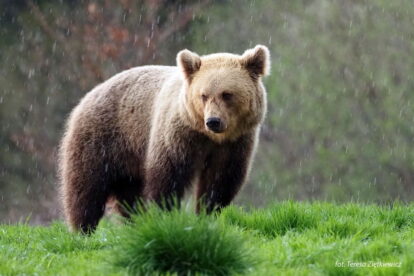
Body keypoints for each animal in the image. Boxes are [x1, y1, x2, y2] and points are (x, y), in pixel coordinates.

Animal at [59, 44, 272, 233]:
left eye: (227, 94)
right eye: (203, 95)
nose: (213, 121)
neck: (209, 137)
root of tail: (90, 94)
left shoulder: (234, 144)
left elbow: (220, 180)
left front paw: (207, 214)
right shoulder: (178, 136)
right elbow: (168, 175)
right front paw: (164, 216)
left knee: (128, 194)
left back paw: (134, 221)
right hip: (102, 138)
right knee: (86, 188)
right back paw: (84, 229)